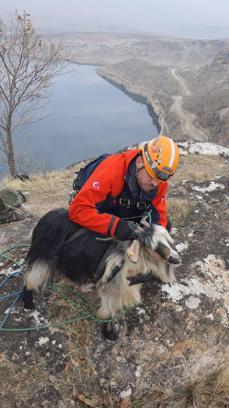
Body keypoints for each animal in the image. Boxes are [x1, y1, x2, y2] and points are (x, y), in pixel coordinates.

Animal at [22, 209, 181, 340]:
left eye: (167, 241)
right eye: (152, 246)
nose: (176, 259)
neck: (127, 259)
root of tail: (43, 219)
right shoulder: (111, 287)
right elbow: (108, 311)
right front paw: (109, 334)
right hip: (43, 258)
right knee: (30, 277)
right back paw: (28, 303)